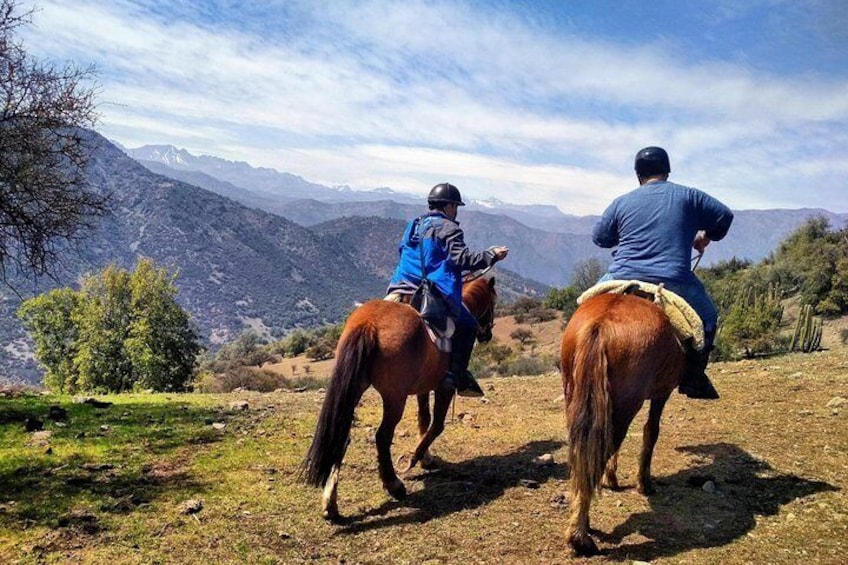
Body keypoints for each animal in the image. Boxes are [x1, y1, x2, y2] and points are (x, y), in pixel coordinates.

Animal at [302, 276, 496, 516]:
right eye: (493, 303)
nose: (487, 335)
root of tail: (369, 323)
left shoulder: (423, 387)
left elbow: (424, 419)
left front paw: (426, 457)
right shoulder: (445, 388)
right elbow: (437, 425)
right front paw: (416, 457)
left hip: (353, 388)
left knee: (341, 435)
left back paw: (330, 501)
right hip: (394, 398)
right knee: (382, 436)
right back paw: (394, 484)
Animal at [560, 290, 684, 556]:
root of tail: (600, 324)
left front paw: (612, 478)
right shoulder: (662, 393)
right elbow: (651, 432)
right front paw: (644, 483)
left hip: (575, 395)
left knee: (585, 454)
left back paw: (582, 527)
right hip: (628, 401)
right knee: (600, 452)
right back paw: (580, 538)